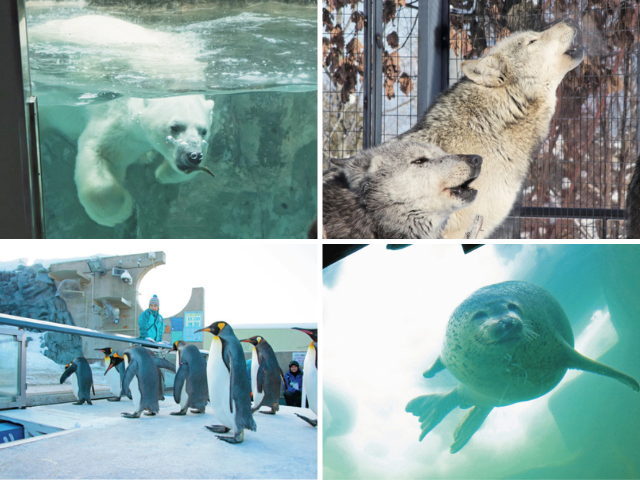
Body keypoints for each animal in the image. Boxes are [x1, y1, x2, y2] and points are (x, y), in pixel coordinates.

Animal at [73, 95, 214, 227]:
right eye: (174, 127)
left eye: (204, 131)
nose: (194, 156)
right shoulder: (114, 122)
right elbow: (97, 151)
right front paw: (121, 212)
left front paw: (161, 175)